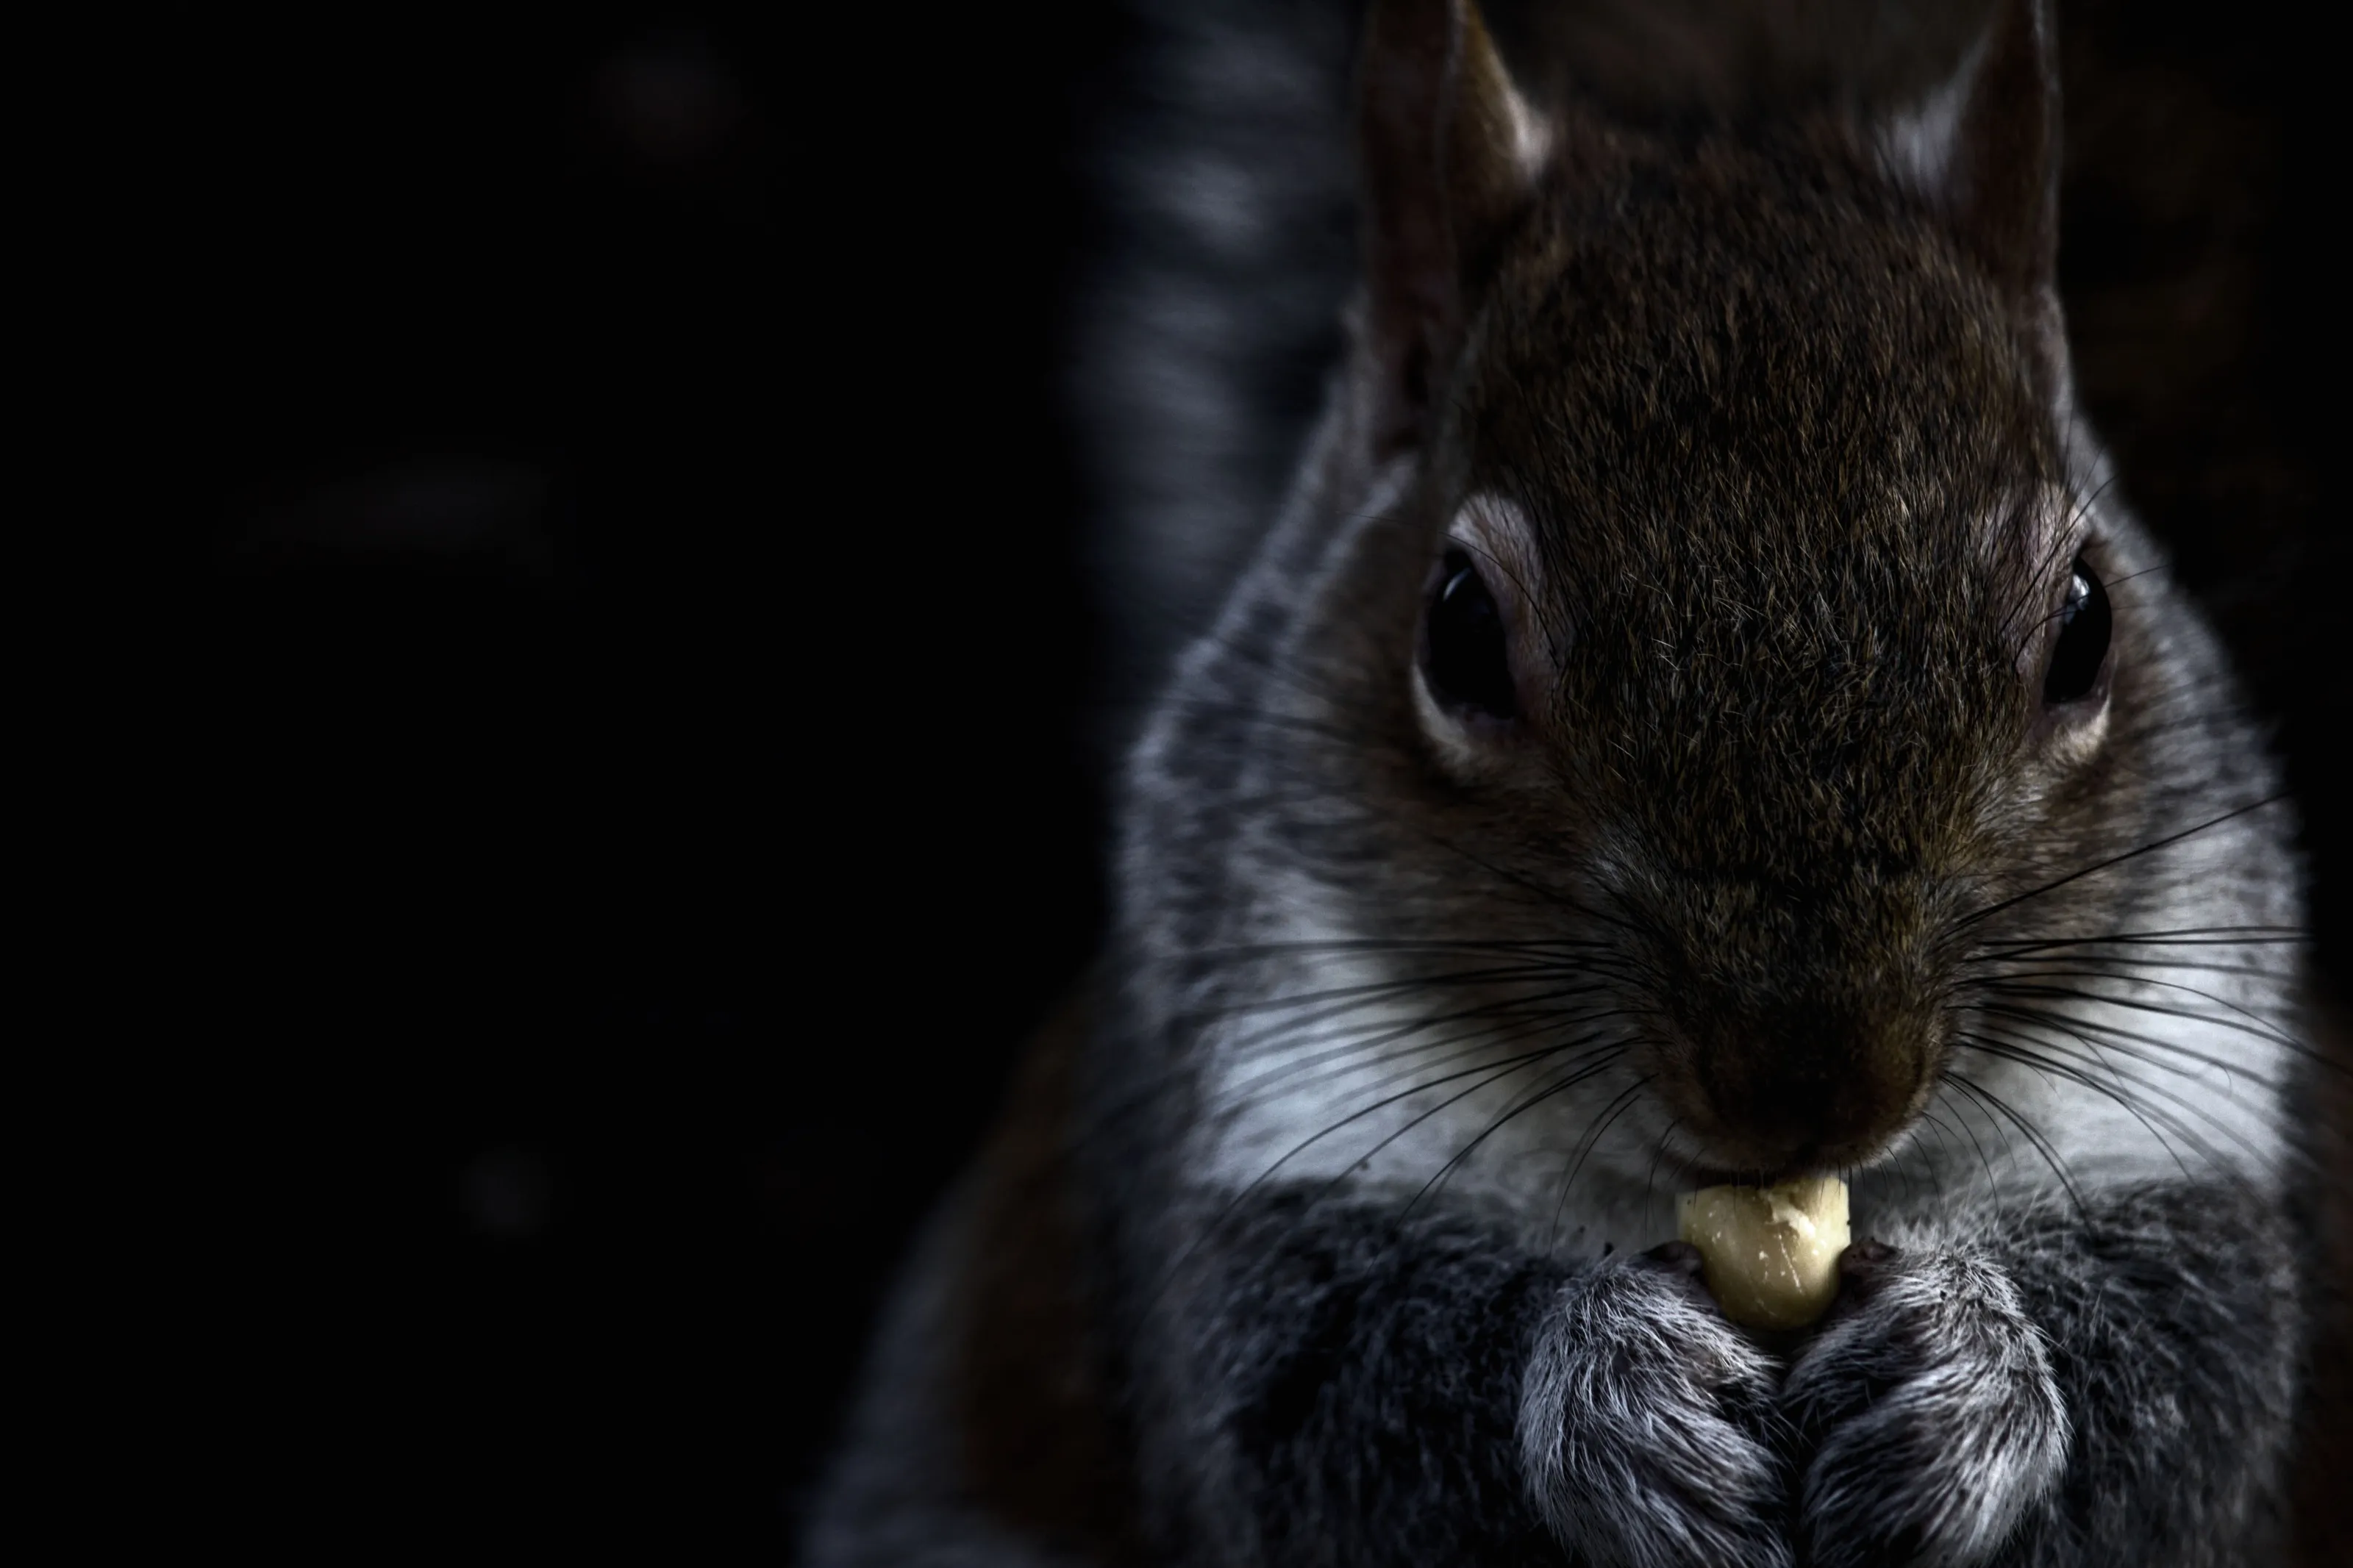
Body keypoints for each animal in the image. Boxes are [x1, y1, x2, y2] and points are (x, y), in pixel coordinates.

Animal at [806, 1, 2342, 1563]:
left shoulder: (2183, 1085)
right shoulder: (1245, 1106)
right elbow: (1318, 1399)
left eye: (2087, 624)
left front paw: (1970, 1377)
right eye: (1458, 630)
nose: (1811, 1082)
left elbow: (2190, 1374)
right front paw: (1610, 1385)